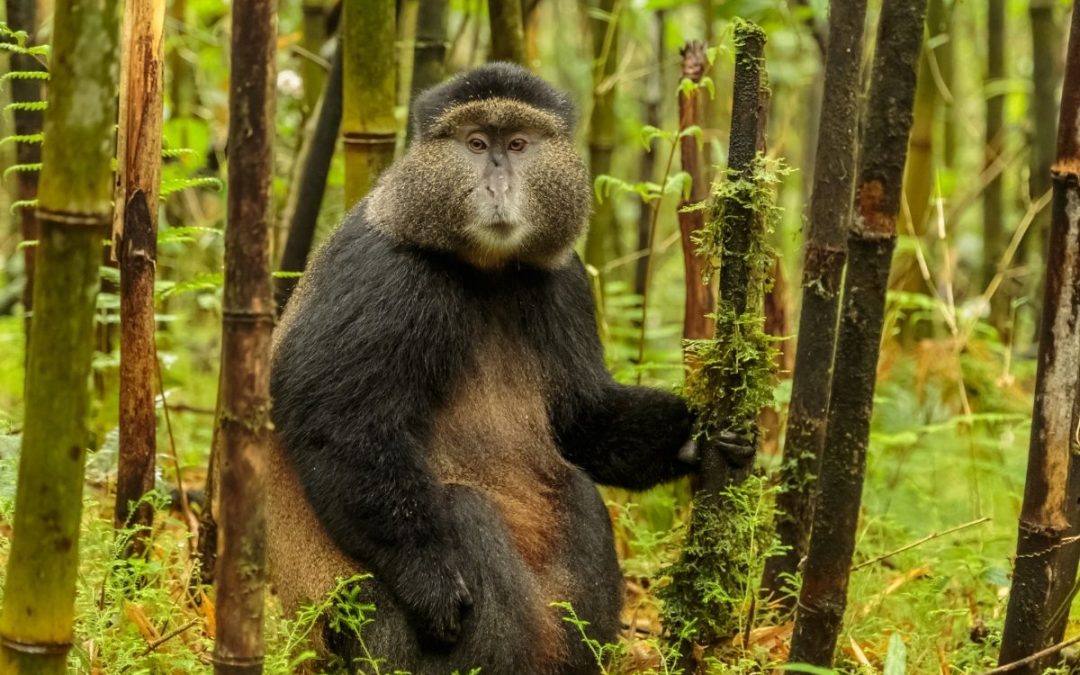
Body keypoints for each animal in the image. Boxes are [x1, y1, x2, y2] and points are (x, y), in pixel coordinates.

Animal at [266, 63, 738, 674]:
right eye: (474, 144)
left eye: (516, 145)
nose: (498, 184)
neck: (486, 271)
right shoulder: (382, 276)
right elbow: (337, 421)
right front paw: (430, 581)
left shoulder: (565, 280)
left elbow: (581, 419)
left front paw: (698, 436)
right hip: (368, 634)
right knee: (462, 508)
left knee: (576, 490)